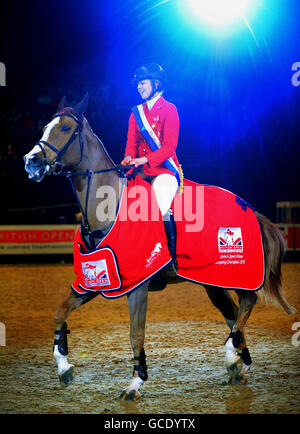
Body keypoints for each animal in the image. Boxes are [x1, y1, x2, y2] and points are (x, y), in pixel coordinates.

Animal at [23, 94, 296, 400]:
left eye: (66, 128)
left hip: (235, 273)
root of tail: (250, 208)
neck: (108, 207)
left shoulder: (137, 285)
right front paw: (64, 368)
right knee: (233, 314)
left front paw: (134, 383)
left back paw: (231, 357)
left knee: (247, 303)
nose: (31, 160)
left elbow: (136, 334)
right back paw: (240, 365)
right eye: (45, 126)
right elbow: (60, 312)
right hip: (212, 282)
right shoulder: (93, 282)